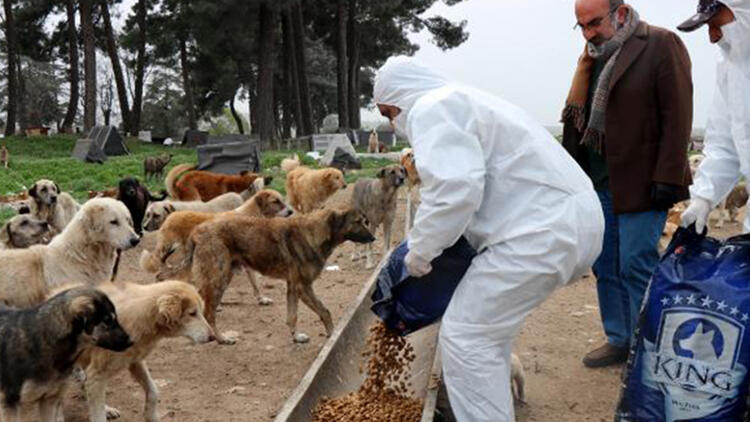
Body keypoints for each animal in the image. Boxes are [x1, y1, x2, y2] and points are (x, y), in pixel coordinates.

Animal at [60, 280, 214, 422]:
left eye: (200, 311)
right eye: (192, 313)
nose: (212, 337)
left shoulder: (135, 361)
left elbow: (153, 391)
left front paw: (151, 416)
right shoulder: (96, 374)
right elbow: (98, 416)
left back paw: (107, 409)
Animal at [141, 190, 294, 306]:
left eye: (281, 199)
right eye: (275, 201)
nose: (291, 212)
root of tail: (172, 215)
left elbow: (254, 282)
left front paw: (261, 299)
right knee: (163, 275)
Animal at [177, 207, 376, 342]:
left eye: (365, 221)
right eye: (357, 222)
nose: (373, 238)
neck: (315, 234)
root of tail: (197, 231)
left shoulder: (293, 287)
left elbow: (292, 316)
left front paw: (296, 337)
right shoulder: (303, 287)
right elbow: (324, 311)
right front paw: (333, 336)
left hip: (221, 278)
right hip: (219, 279)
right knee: (209, 313)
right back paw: (222, 339)